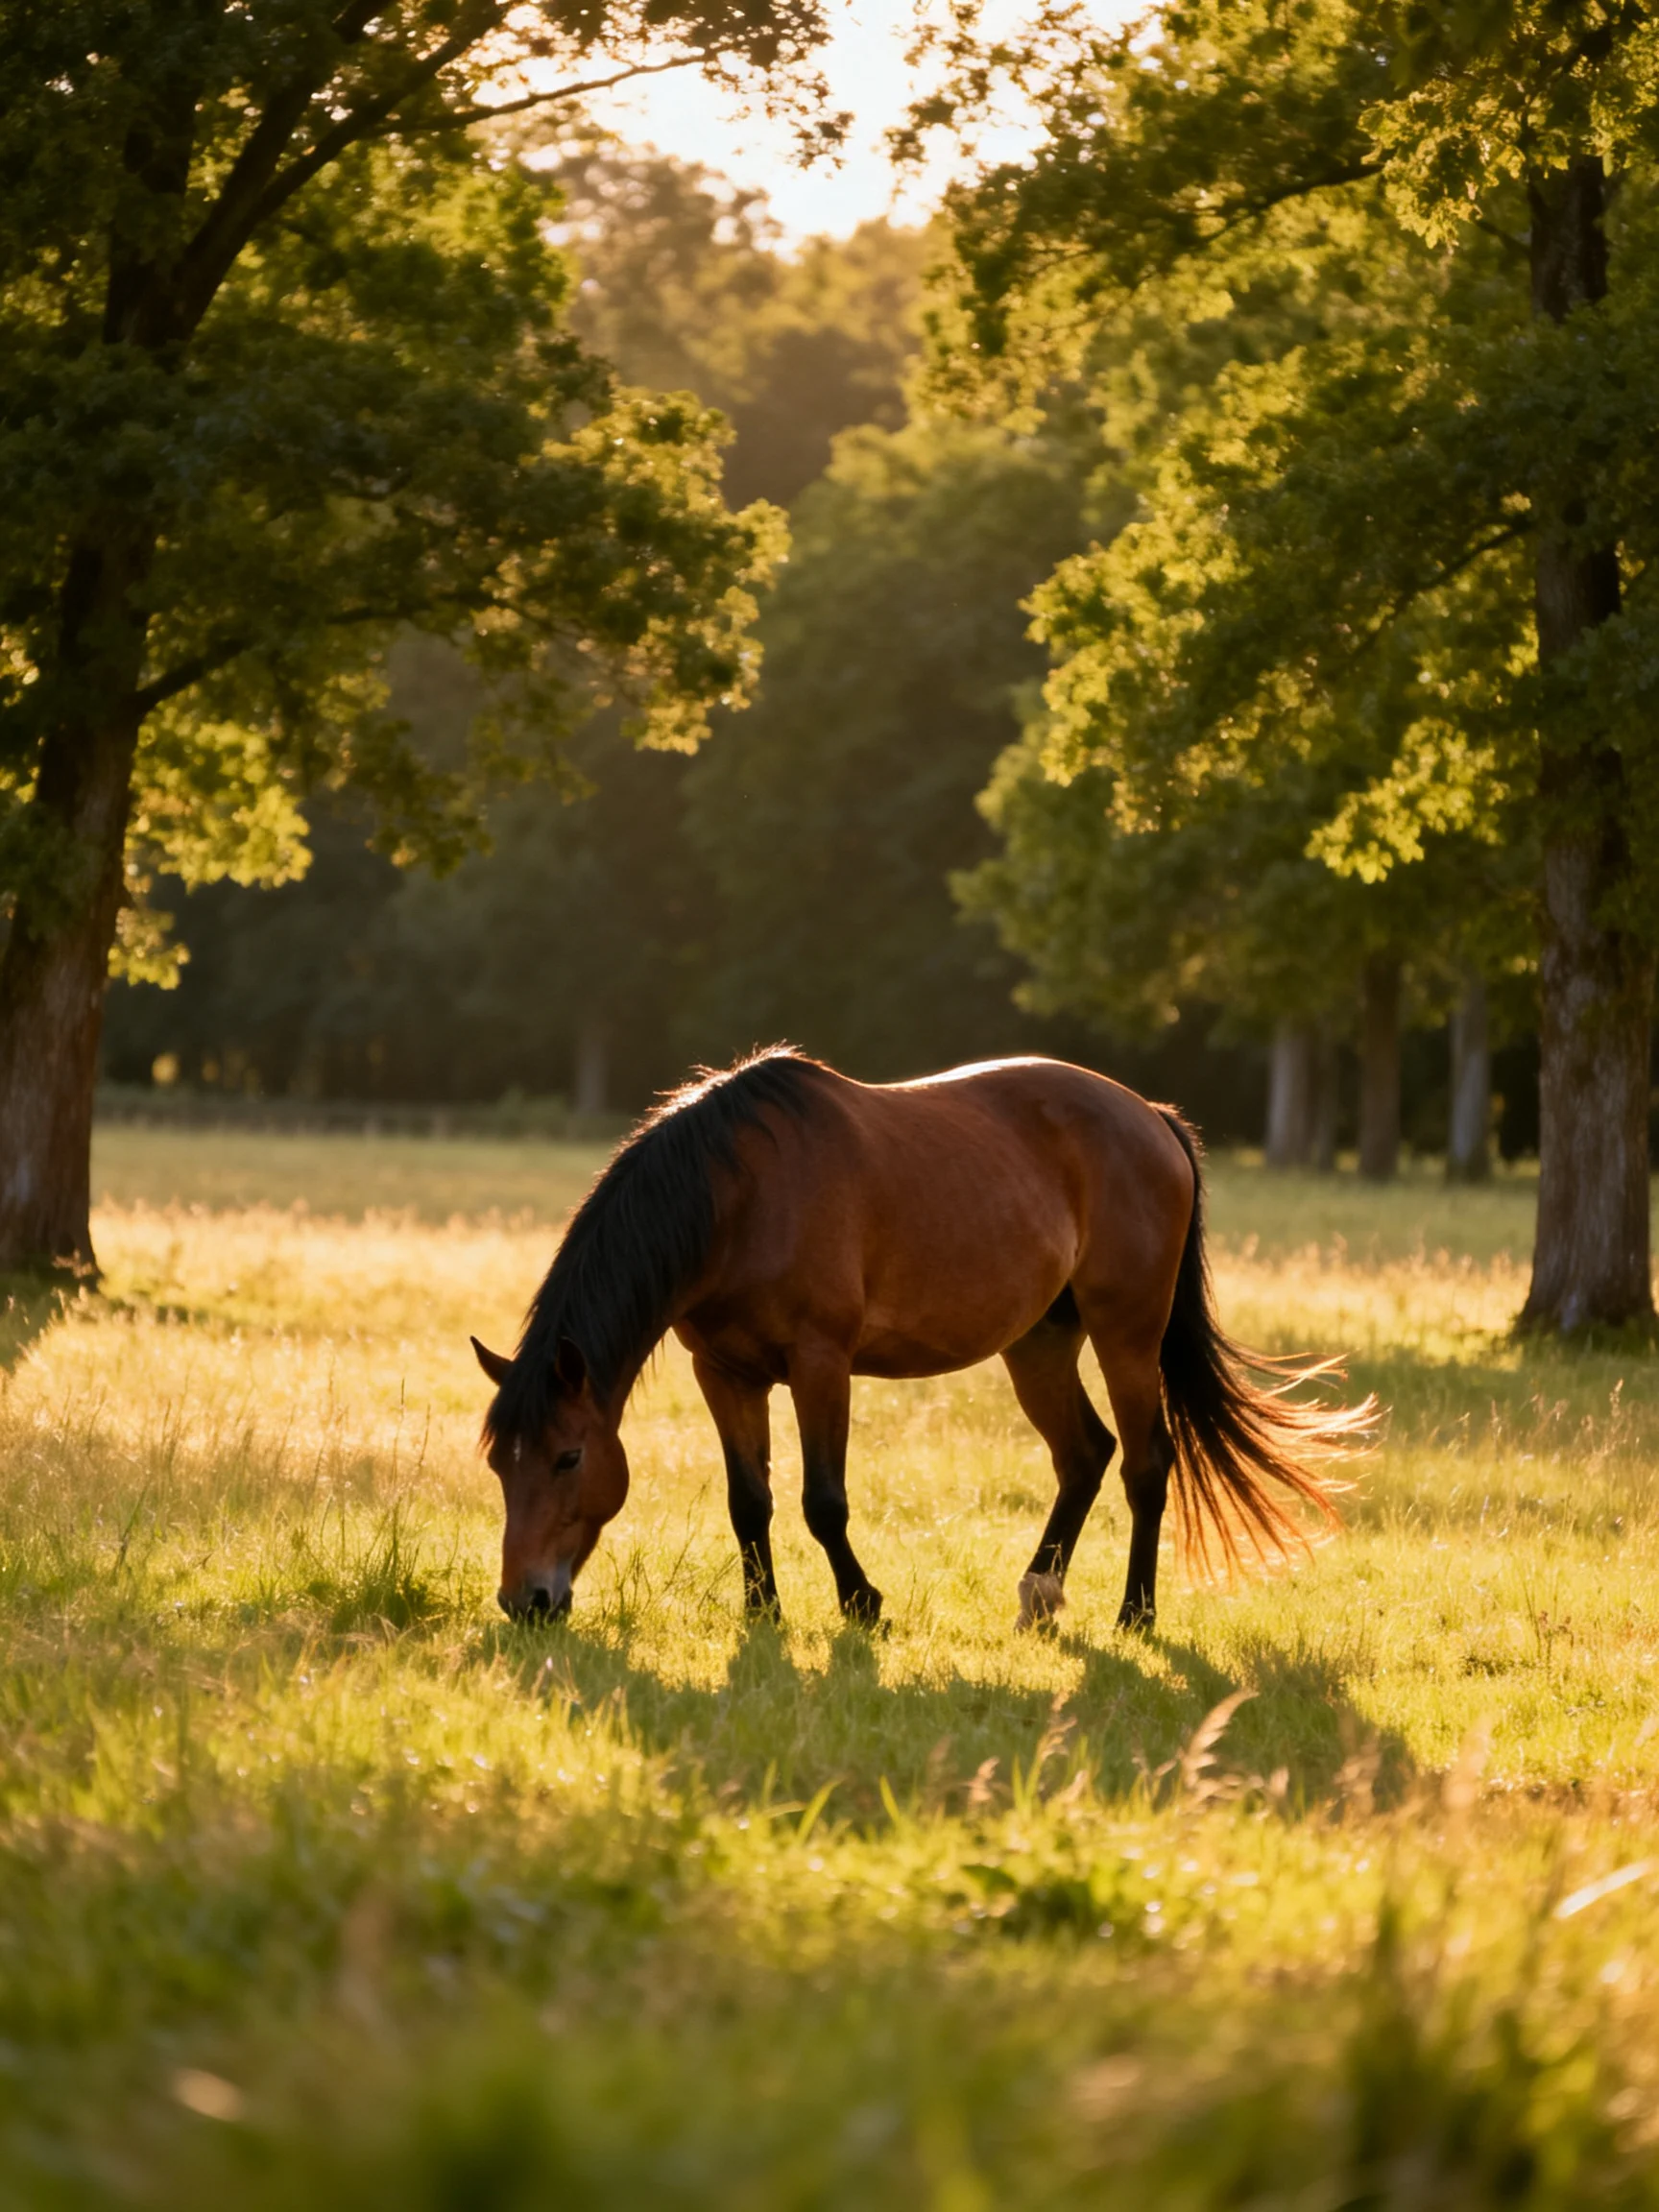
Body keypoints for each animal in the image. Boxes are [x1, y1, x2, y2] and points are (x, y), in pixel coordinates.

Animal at [471, 1048, 1368, 1633]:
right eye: (499, 1465)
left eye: (568, 1457)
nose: (526, 1603)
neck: (739, 1198)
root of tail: (1152, 1117)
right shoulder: (722, 1372)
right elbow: (749, 1501)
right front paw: (763, 1614)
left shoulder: (821, 1363)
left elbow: (822, 1502)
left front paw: (862, 1606)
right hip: (1038, 1344)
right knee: (1084, 1455)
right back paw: (1038, 1598)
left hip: (1127, 1334)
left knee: (1147, 1465)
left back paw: (1134, 1614)